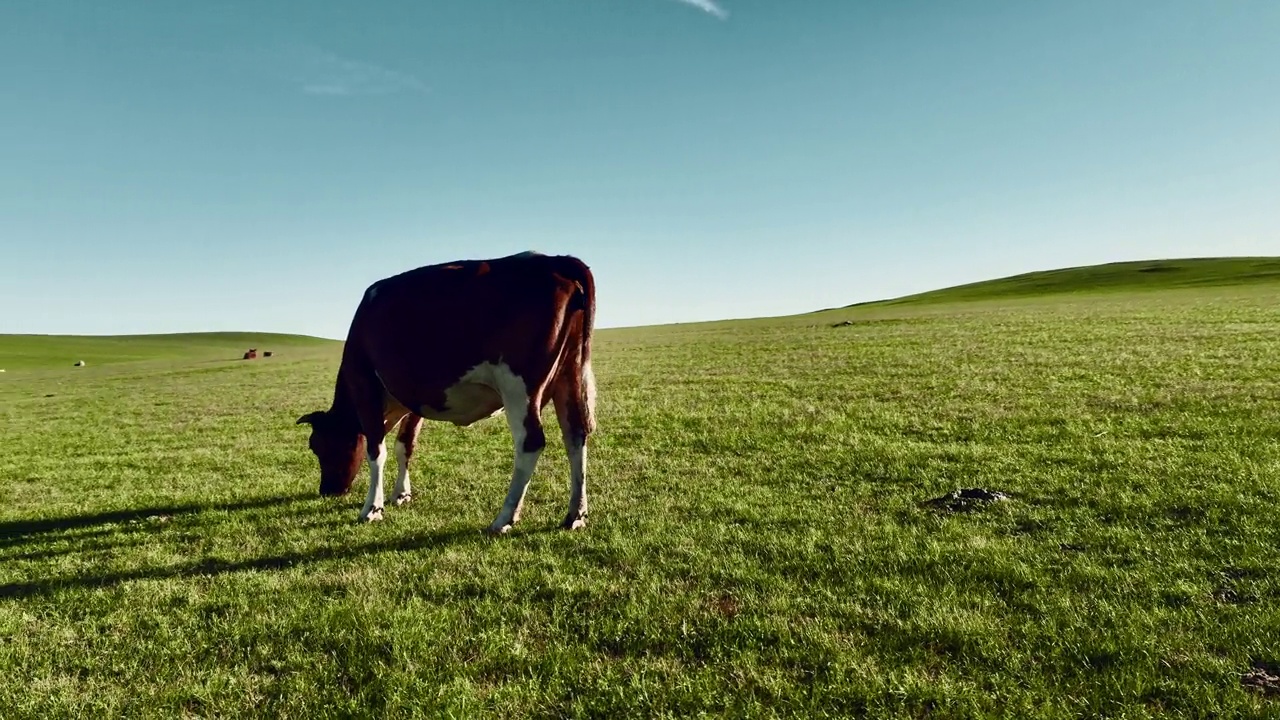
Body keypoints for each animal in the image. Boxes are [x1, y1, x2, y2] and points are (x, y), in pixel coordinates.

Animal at [296, 248, 596, 532]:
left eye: (318, 446)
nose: (327, 490)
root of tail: (553, 260)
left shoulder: (364, 384)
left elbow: (376, 451)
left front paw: (372, 507)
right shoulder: (413, 397)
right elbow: (405, 445)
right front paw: (401, 493)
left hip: (518, 386)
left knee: (530, 442)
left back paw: (504, 518)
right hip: (569, 374)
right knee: (575, 435)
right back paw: (575, 514)